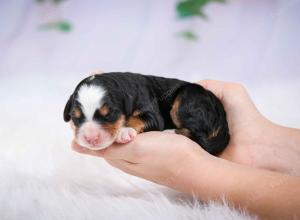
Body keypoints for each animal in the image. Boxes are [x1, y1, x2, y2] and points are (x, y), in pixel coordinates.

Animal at [63, 72, 230, 155]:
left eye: (109, 114)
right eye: (75, 117)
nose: (90, 138)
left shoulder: (152, 114)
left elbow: (136, 119)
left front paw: (124, 131)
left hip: (187, 101)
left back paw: (170, 132)